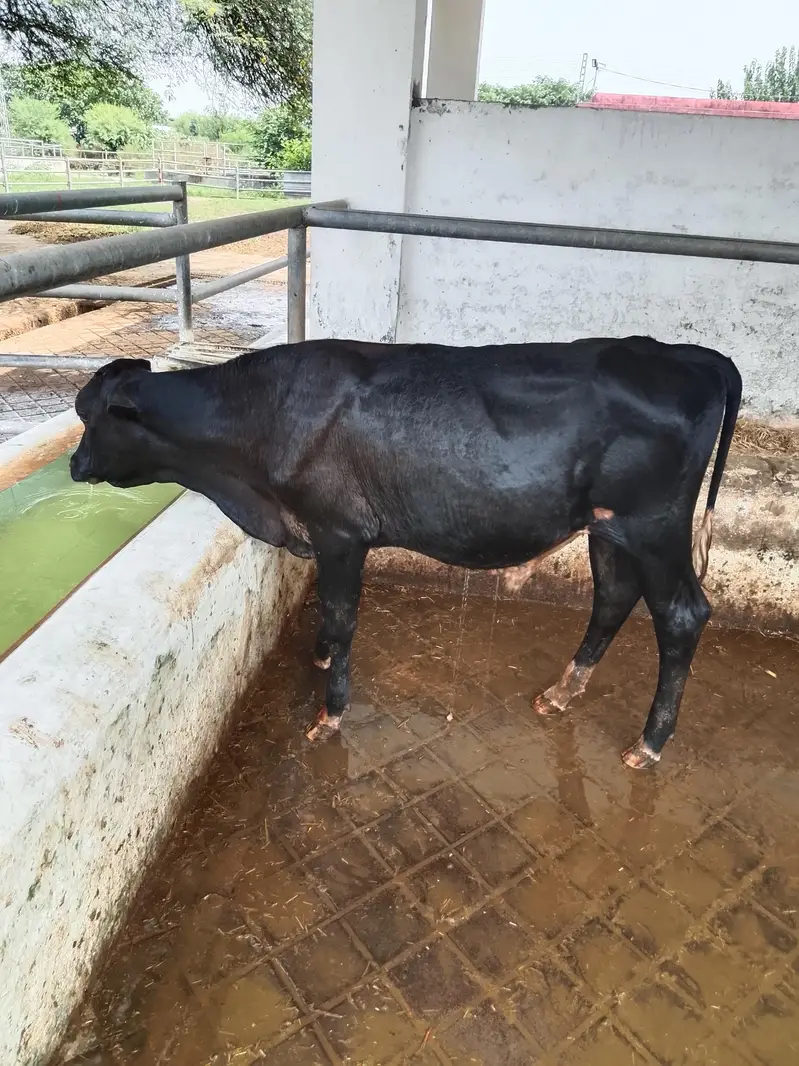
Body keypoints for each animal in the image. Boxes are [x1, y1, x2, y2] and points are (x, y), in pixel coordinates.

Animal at [71, 336, 741, 769]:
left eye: (93, 417)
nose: (75, 466)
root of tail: (688, 354)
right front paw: (319, 656)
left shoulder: (339, 530)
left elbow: (343, 615)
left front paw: (330, 711)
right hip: (608, 528)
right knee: (614, 597)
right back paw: (562, 691)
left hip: (654, 525)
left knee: (682, 615)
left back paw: (649, 744)